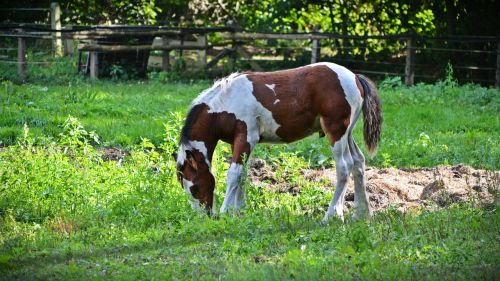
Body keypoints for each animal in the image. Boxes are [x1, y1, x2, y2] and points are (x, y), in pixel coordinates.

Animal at [173, 61, 382, 221]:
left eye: (195, 187)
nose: (205, 216)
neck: (225, 103)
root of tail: (355, 77)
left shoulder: (246, 137)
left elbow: (233, 174)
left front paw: (226, 212)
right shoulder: (238, 142)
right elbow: (243, 175)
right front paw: (238, 211)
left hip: (336, 132)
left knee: (344, 166)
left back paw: (331, 215)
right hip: (347, 134)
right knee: (358, 162)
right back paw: (362, 214)